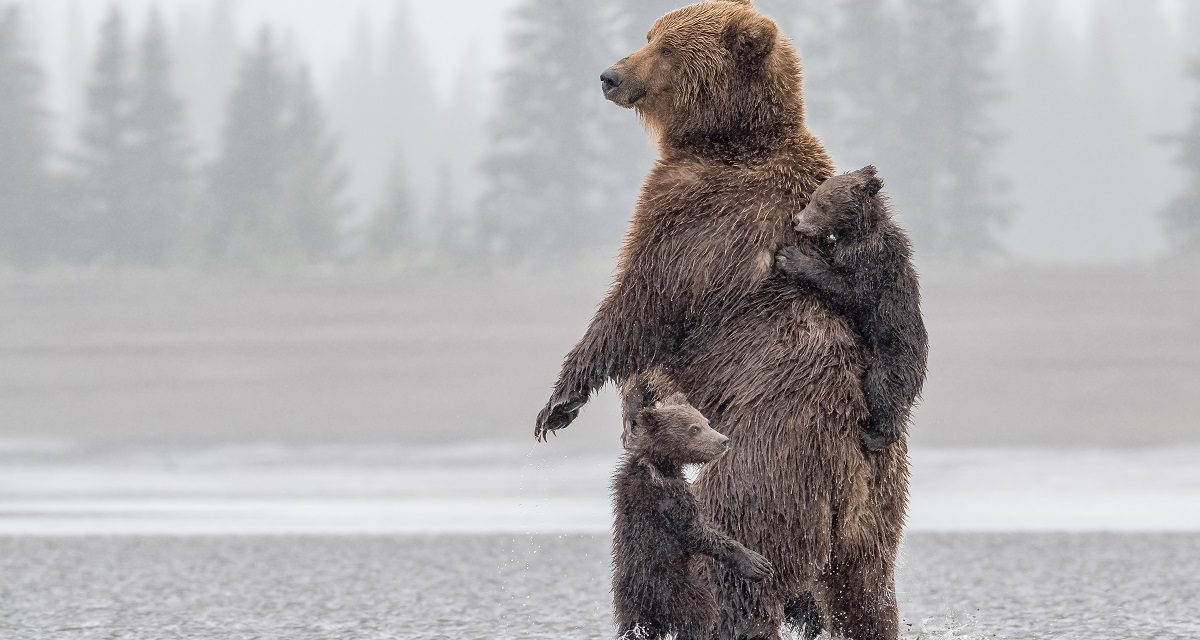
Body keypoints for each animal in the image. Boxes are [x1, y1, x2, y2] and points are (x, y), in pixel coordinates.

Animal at [612, 389, 775, 640]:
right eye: (694, 428)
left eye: (706, 421)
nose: (723, 440)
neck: (660, 465)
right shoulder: (667, 499)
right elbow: (697, 532)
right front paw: (756, 563)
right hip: (673, 586)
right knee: (700, 614)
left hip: (631, 606)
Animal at [775, 166, 929, 453]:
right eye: (812, 197)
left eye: (822, 204)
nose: (796, 220)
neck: (858, 232)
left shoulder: (871, 263)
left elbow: (849, 291)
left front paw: (790, 257)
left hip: (892, 359)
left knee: (883, 391)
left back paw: (874, 436)